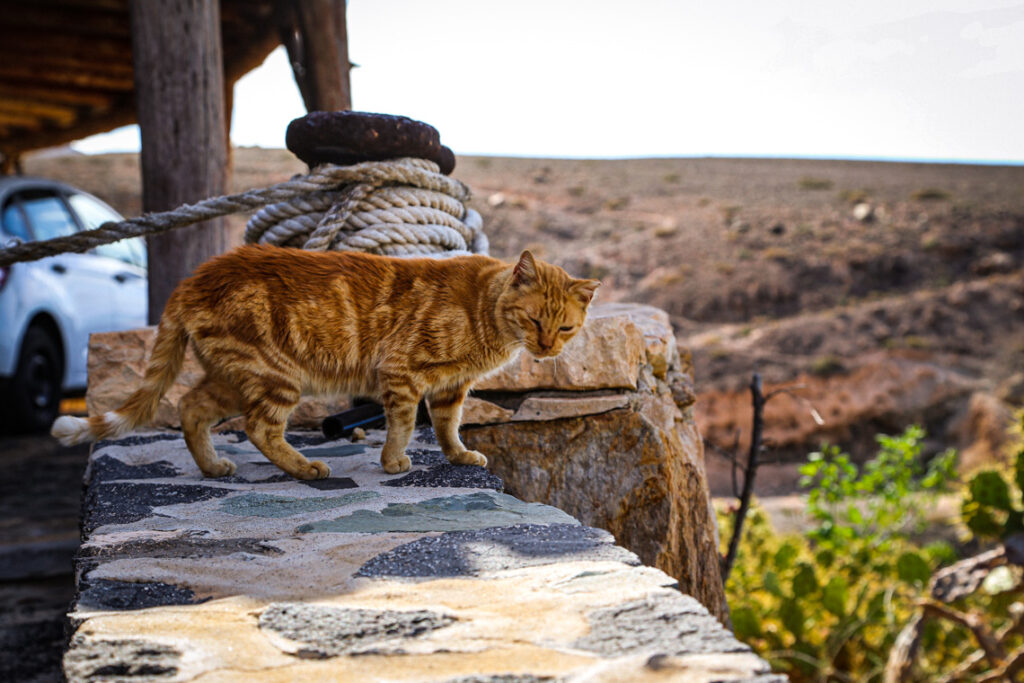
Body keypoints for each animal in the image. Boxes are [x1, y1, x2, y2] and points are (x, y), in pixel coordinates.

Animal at [54, 246, 598, 481]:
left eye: (565, 329)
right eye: (534, 319)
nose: (547, 349)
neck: (485, 313)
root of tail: (195, 276)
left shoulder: (449, 388)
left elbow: (447, 427)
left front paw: (459, 456)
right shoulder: (402, 373)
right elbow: (403, 424)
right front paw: (394, 462)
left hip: (233, 377)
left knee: (191, 407)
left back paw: (212, 467)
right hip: (276, 375)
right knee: (259, 428)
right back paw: (305, 469)